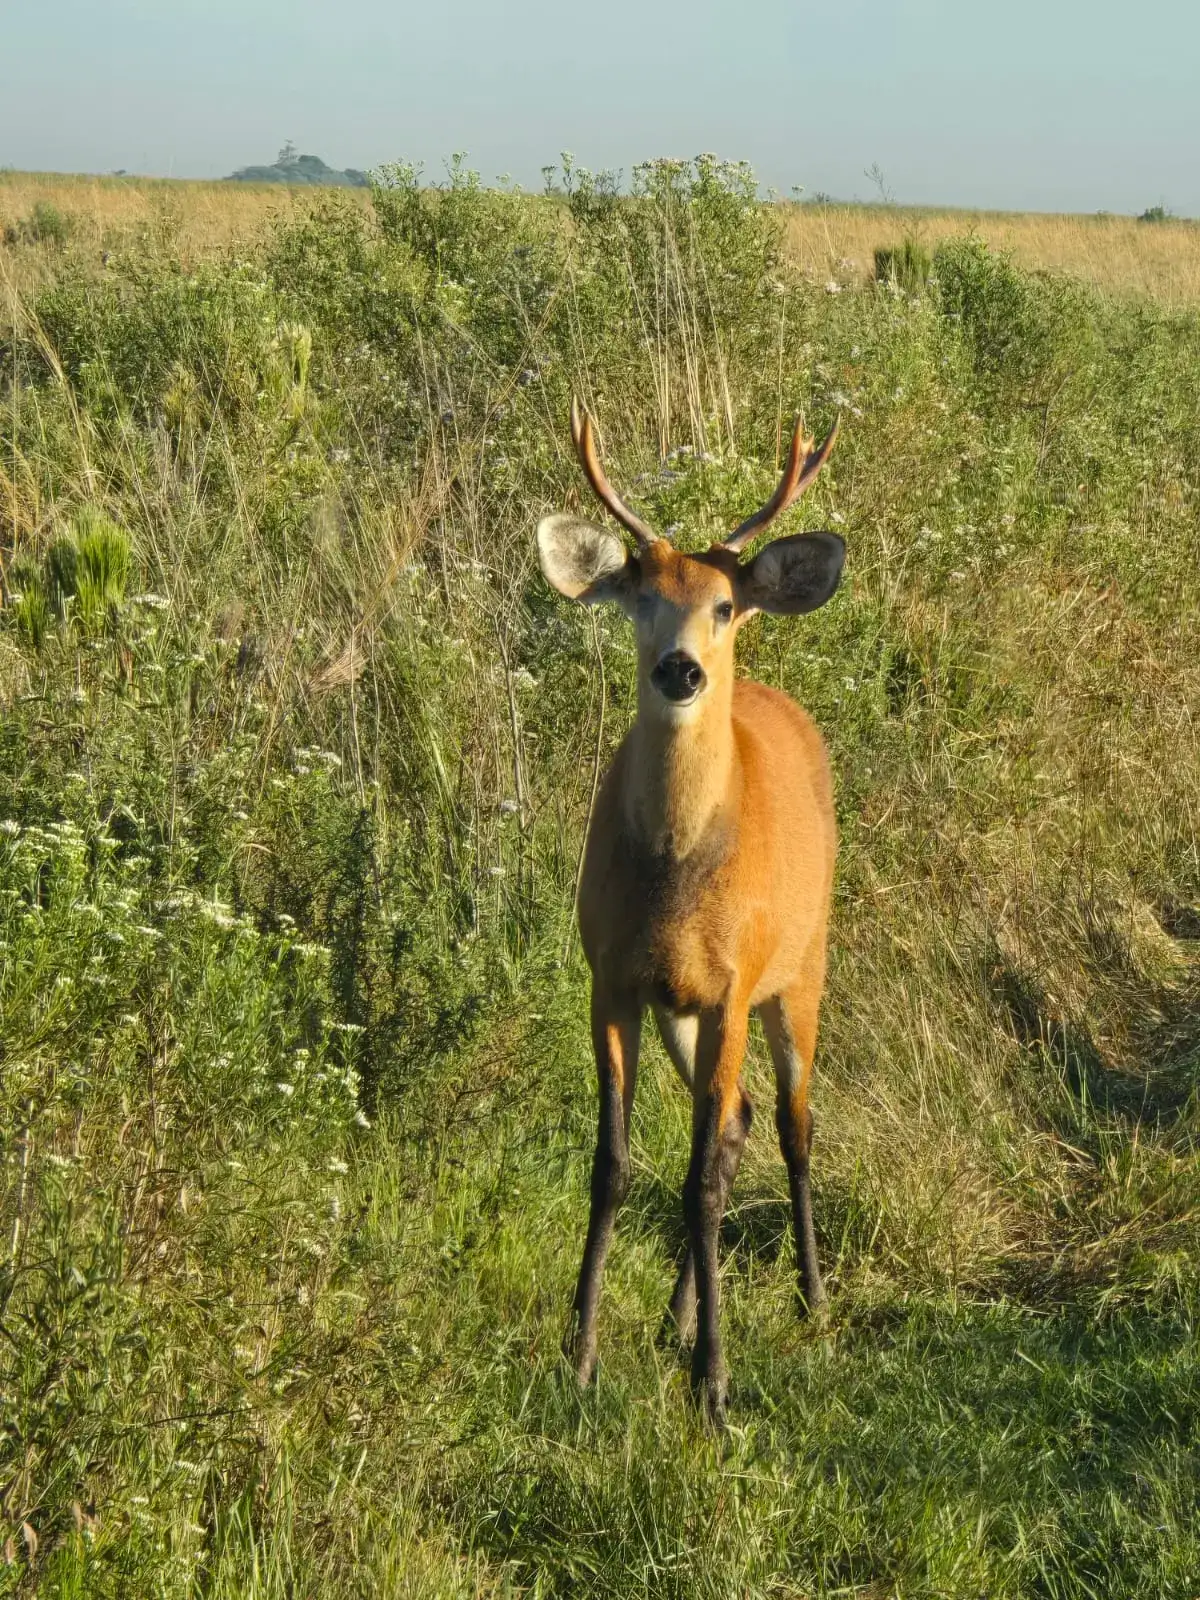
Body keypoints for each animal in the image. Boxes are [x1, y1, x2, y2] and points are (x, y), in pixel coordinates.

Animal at [536, 400, 845, 1425]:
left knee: (792, 1124)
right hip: (691, 1013)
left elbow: (700, 1185)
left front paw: (714, 1384)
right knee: (740, 1122)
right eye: (640, 598)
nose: (681, 671)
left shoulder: (733, 984)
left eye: (722, 604)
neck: (676, 877)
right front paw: (581, 1354)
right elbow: (615, 1166)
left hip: (801, 969)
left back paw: (812, 1298)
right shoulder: (614, 979)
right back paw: (679, 1316)